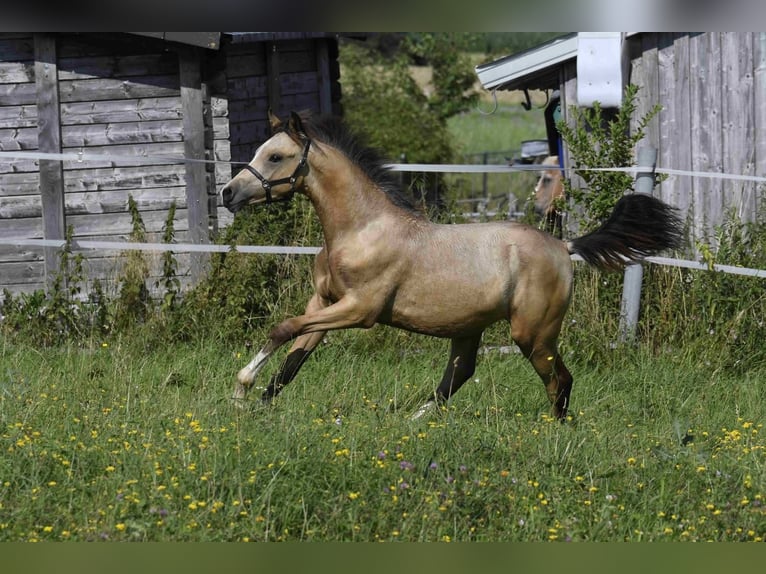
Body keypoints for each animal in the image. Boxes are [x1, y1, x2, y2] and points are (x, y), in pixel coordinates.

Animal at [221, 111, 683, 420]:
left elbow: (283, 328)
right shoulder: (323, 302)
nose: (228, 193)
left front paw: (241, 390)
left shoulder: (359, 310)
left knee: (559, 380)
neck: (361, 230)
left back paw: (555, 431)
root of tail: (563, 245)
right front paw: (257, 405)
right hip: (468, 328)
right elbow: (293, 358)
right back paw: (414, 422)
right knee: (458, 376)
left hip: (533, 333)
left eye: (276, 157)